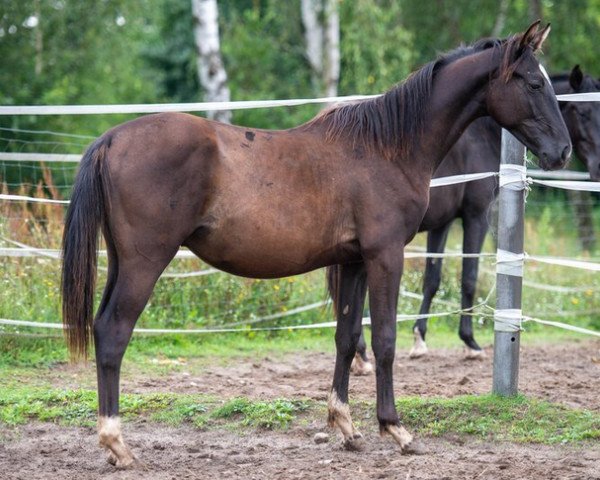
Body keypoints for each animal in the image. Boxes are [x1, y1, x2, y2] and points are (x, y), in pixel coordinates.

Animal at [62, 22, 572, 464]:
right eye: (533, 83)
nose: (563, 152)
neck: (387, 146)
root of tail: (111, 139)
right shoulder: (386, 256)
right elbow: (384, 340)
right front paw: (396, 428)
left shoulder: (354, 262)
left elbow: (347, 338)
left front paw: (345, 425)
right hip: (145, 263)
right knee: (113, 333)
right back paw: (117, 443)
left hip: (121, 262)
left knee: (102, 328)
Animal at [350, 63, 600, 374]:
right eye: (584, 112)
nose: (598, 167)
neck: (480, 135)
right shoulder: (476, 216)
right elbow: (468, 277)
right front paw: (470, 343)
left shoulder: (442, 223)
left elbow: (432, 279)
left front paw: (420, 339)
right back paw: (361, 355)